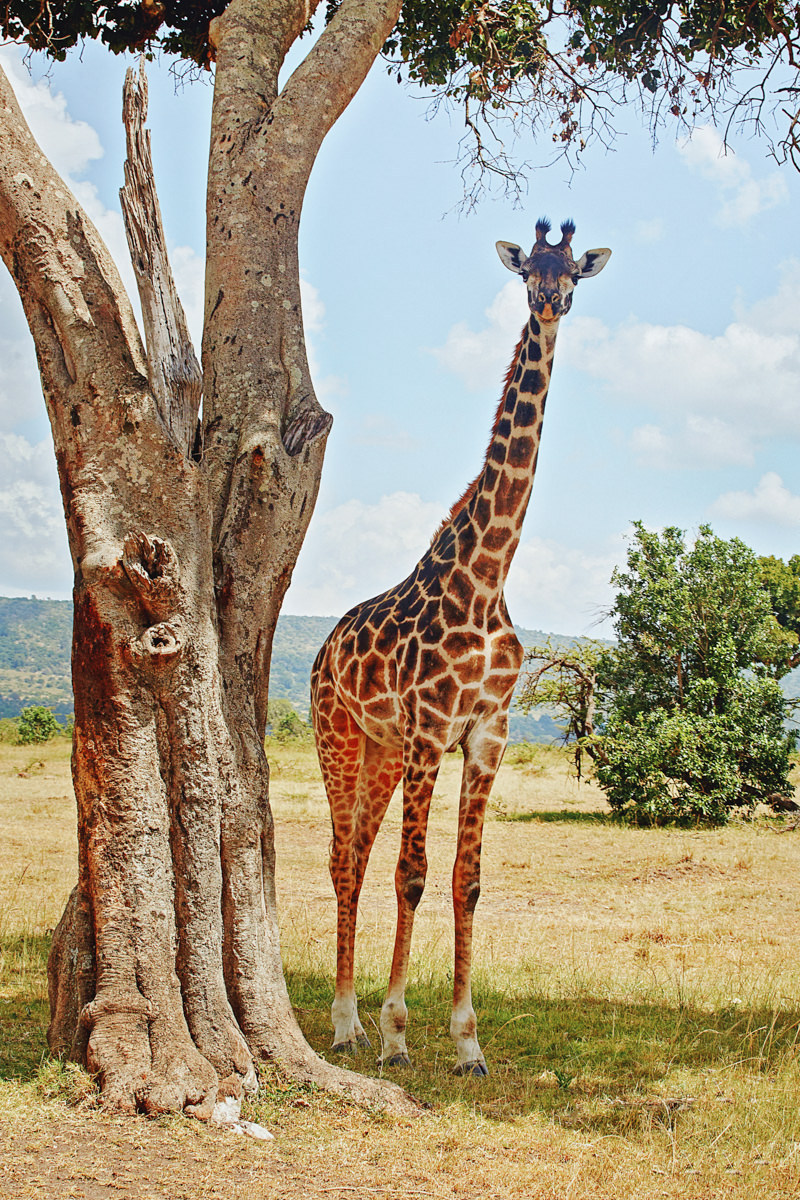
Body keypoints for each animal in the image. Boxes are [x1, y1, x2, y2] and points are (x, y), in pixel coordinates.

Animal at [309, 220, 609, 1075]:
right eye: (528, 271)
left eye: (575, 270)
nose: (552, 301)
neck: (488, 574)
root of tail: (321, 653)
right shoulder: (429, 728)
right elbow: (412, 875)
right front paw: (397, 1033)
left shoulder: (486, 733)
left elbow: (465, 879)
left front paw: (468, 1040)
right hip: (342, 738)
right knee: (345, 861)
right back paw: (346, 1025)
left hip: (380, 752)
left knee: (358, 856)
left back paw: (352, 1021)